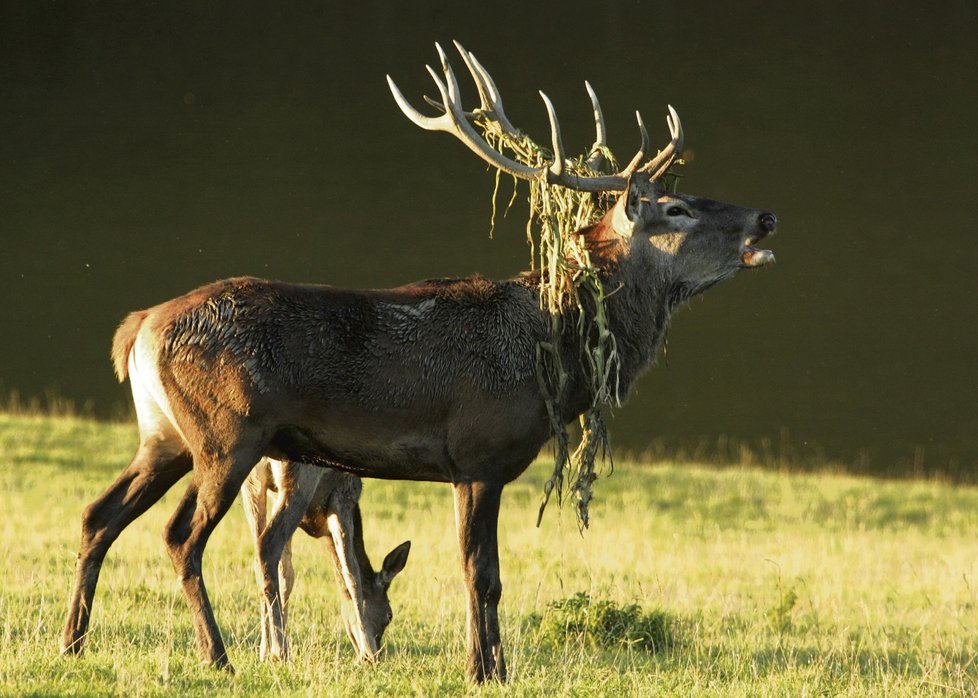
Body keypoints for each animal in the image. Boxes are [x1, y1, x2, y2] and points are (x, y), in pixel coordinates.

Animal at [240, 456, 408, 656]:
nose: (379, 651)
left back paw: (267, 649)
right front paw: (366, 652)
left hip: (252, 483)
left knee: (259, 556)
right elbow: (352, 574)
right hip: (300, 482)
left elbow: (286, 575)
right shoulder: (343, 497)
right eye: (389, 615)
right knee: (267, 546)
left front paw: (267, 648)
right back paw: (279, 652)